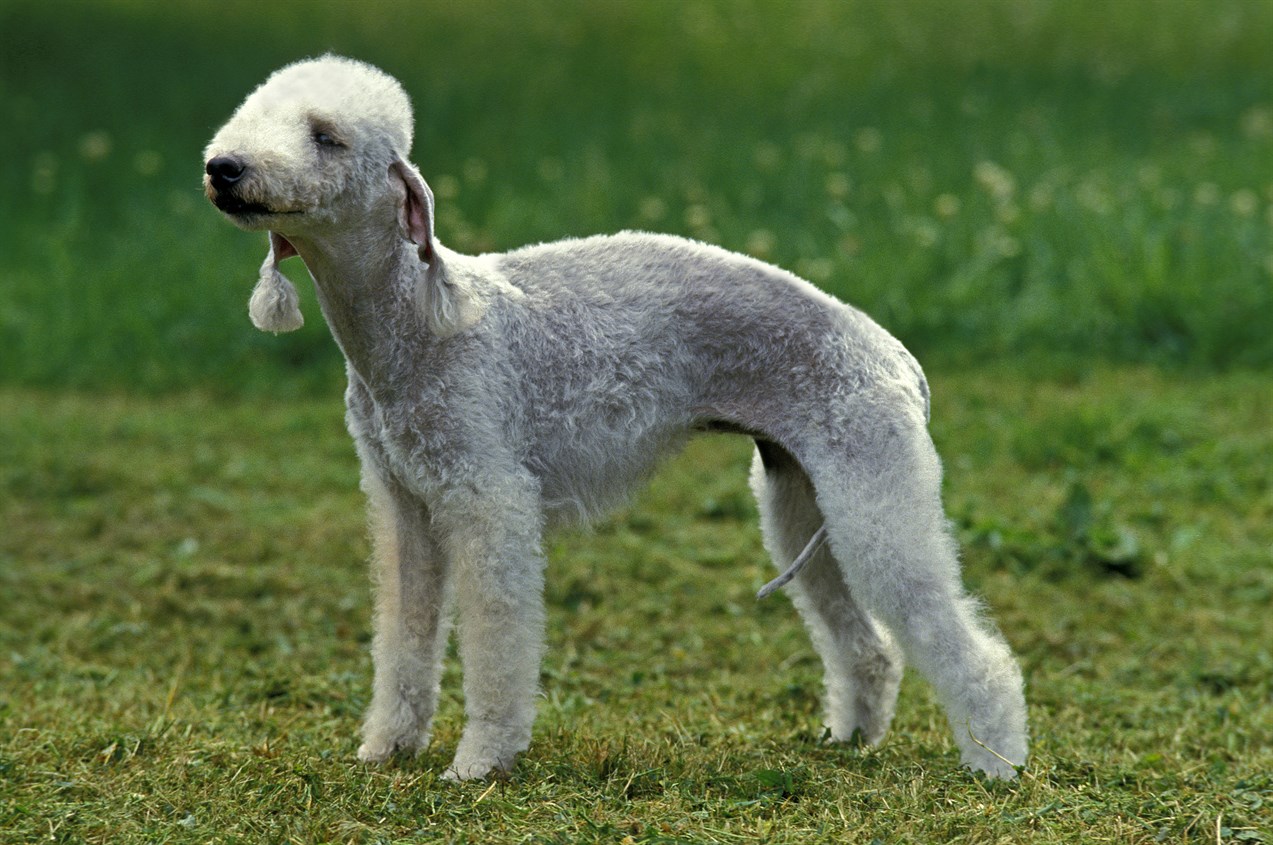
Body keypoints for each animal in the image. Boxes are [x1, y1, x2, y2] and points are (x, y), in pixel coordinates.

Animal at [206, 55, 1023, 783]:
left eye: (326, 136)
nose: (223, 167)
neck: (416, 320)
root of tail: (893, 353)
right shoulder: (403, 502)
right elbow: (404, 634)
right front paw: (387, 748)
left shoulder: (488, 498)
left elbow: (496, 636)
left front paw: (480, 762)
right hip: (802, 499)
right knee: (869, 645)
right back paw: (851, 737)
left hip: (873, 489)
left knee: (964, 642)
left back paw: (996, 762)